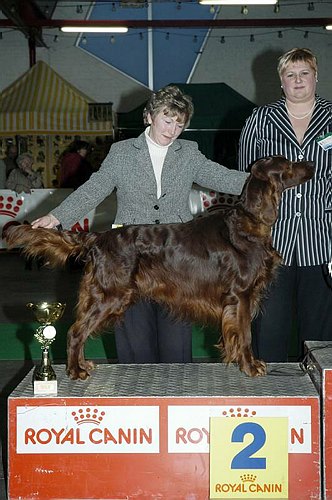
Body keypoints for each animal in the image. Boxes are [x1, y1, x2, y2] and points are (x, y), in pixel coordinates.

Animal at [6, 156, 316, 378]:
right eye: (288, 164)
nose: (312, 164)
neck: (249, 221)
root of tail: (98, 237)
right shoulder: (241, 294)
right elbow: (246, 334)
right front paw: (251, 366)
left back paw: (83, 365)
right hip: (112, 295)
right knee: (75, 331)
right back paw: (75, 370)